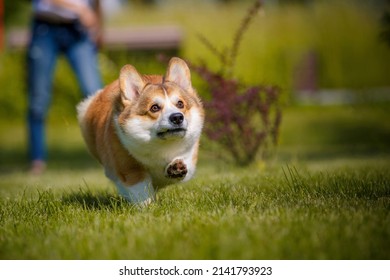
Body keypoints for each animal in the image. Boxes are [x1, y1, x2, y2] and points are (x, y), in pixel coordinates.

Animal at [76, 57, 204, 206]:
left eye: (180, 104)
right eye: (154, 107)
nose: (177, 117)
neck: (161, 146)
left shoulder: (189, 155)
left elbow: (183, 165)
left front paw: (176, 167)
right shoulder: (129, 169)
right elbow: (140, 189)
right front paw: (147, 206)